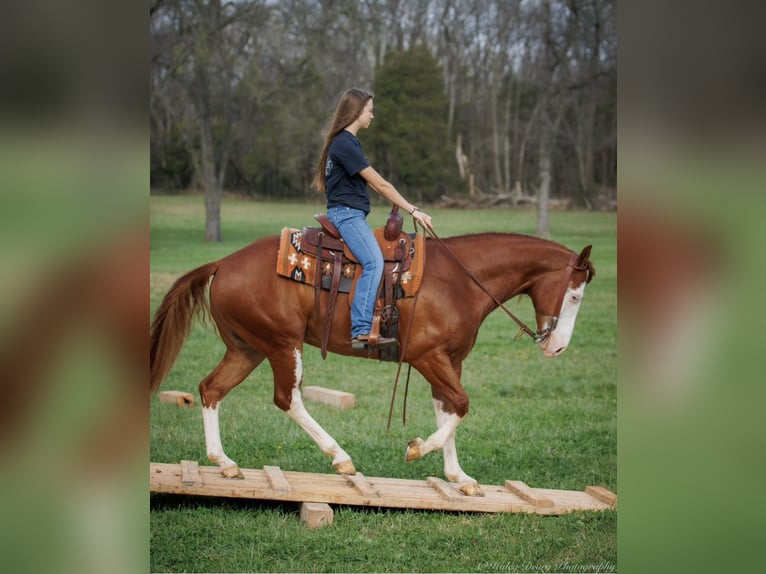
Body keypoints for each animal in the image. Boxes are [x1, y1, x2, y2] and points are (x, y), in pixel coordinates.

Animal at [148, 232, 592, 498]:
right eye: (574, 295)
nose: (558, 348)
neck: (460, 281)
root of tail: (222, 263)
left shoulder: (450, 361)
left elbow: (449, 408)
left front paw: (458, 477)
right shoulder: (428, 357)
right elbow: (461, 405)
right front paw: (416, 449)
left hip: (247, 349)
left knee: (211, 389)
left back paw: (224, 462)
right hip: (282, 345)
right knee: (288, 398)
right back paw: (340, 457)